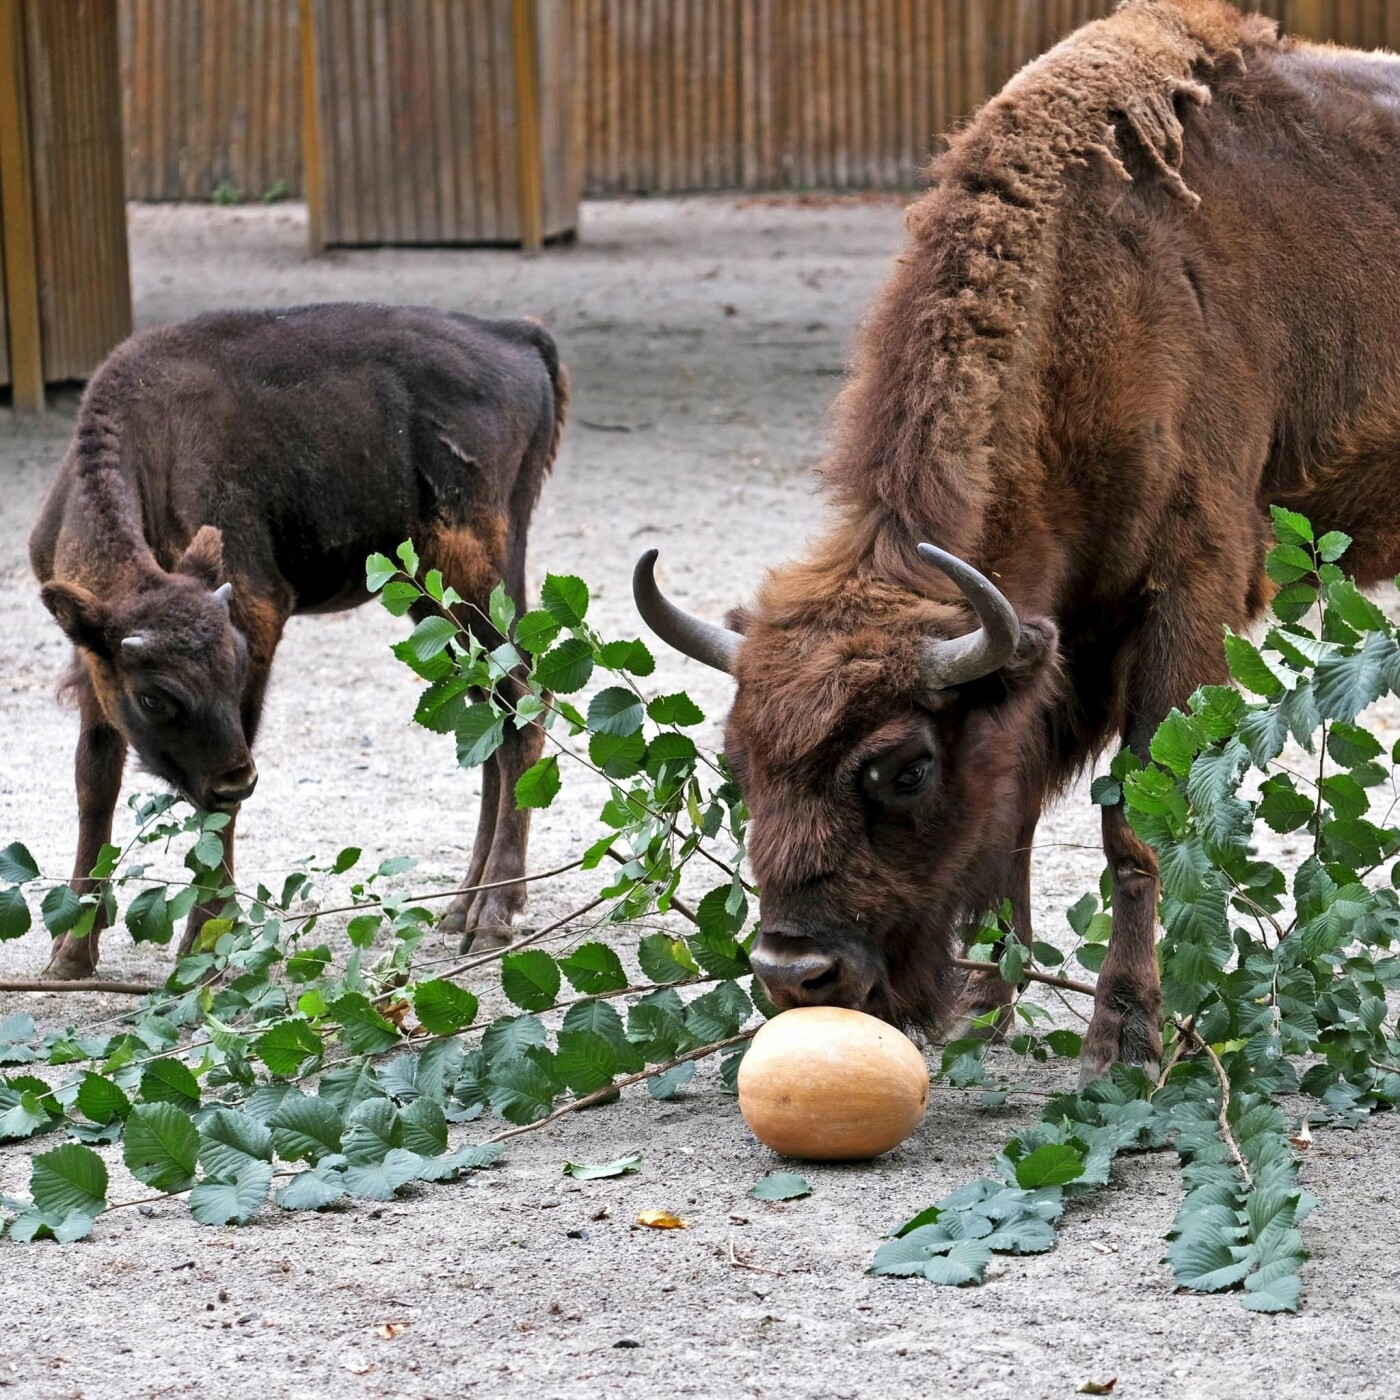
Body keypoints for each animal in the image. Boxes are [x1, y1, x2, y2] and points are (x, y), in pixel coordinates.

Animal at [27, 299, 565, 974]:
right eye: (153, 696)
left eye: (233, 667)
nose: (239, 778)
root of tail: (517, 335)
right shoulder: (92, 657)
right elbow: (95, 779)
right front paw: (71, 954)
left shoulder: (256, 616)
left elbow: (213, 809)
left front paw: (208, 943)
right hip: (437, 606)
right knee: (492, 716)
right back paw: (461, 907)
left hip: (476, 578)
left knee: (525, 701)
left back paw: (493, 918)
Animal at [638, 0, 1400, 1080]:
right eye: (736, 764)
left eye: (903, 768)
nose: (796, 971)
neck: (1095, 297)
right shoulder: (1059, 629)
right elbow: (1019, 812)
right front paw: (986, 1004)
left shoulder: (1185, 591)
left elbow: (1135, 821)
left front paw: (1123, 1033)